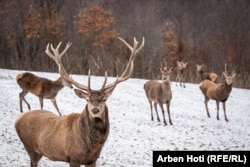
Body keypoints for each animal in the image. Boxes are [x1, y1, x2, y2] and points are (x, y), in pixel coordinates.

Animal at [14, 36, 145, 167]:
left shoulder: (93, 160)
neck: (90, 146)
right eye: (87, 99)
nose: (95, 110)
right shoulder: (74, 158)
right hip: (30, 147)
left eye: (104, 99)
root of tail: (17, 119)